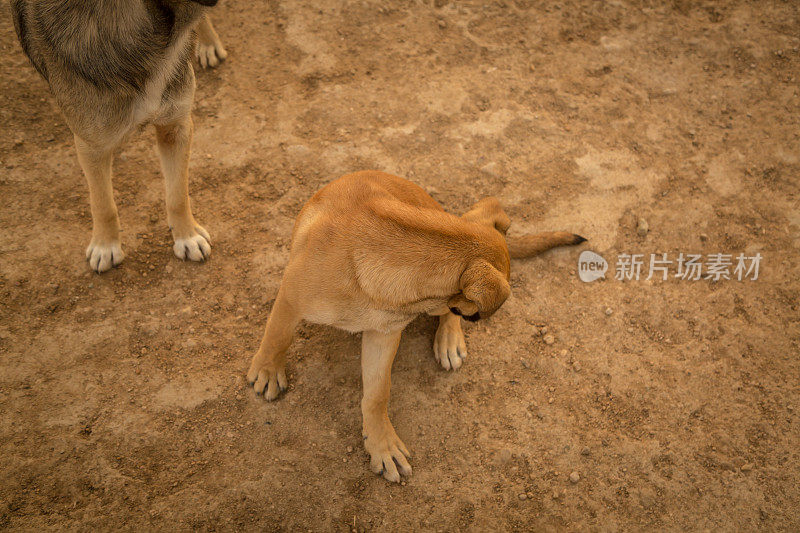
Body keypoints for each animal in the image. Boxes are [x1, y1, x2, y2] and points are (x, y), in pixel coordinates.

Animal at [247, 170, 584, 482]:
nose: (471, 317)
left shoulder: (384, 335)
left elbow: (377, 394)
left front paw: (381, 443)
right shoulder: (290, 298)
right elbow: (277, 336)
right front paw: (267, 370)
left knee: (444, 319)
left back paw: (449, 341)